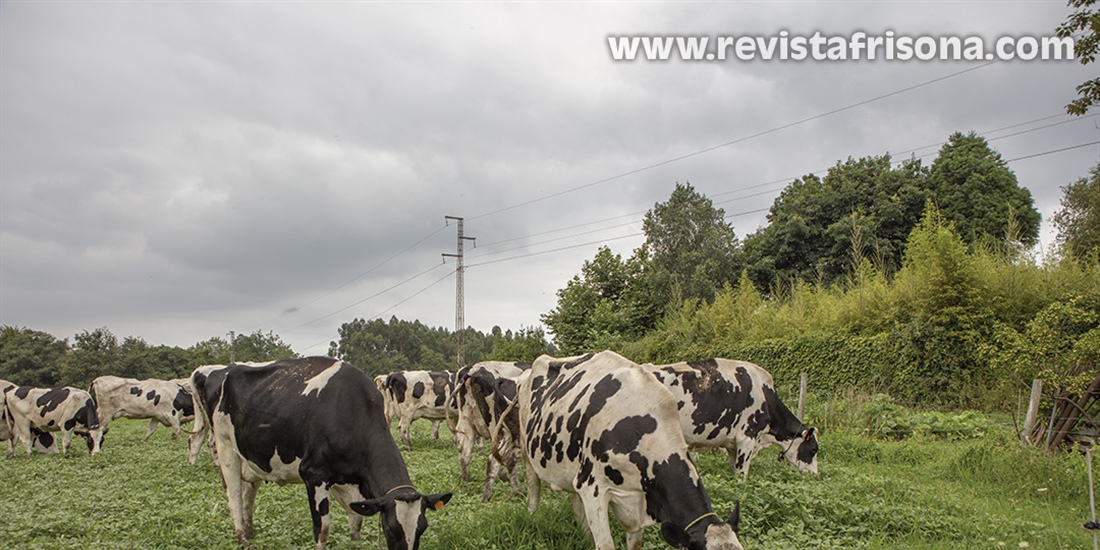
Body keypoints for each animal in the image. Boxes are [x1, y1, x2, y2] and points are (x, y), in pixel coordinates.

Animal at [194, 356, 451, 550]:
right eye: (390, 528)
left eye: (422, 527)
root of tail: (224, 369)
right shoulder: (314, 475)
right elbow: (323, 529)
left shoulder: (352, 482)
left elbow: (356, 523)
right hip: (226, 449)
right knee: (234, 498)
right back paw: (243, 539)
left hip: (253, 457)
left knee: (249, 494)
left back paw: (250, 532)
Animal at [519, 352, 743, 550]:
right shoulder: (593, 487)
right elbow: (605, 545)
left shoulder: (638, 500)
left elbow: (635, 544)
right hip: (527, 452)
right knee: (533, 492)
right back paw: (532, 520)